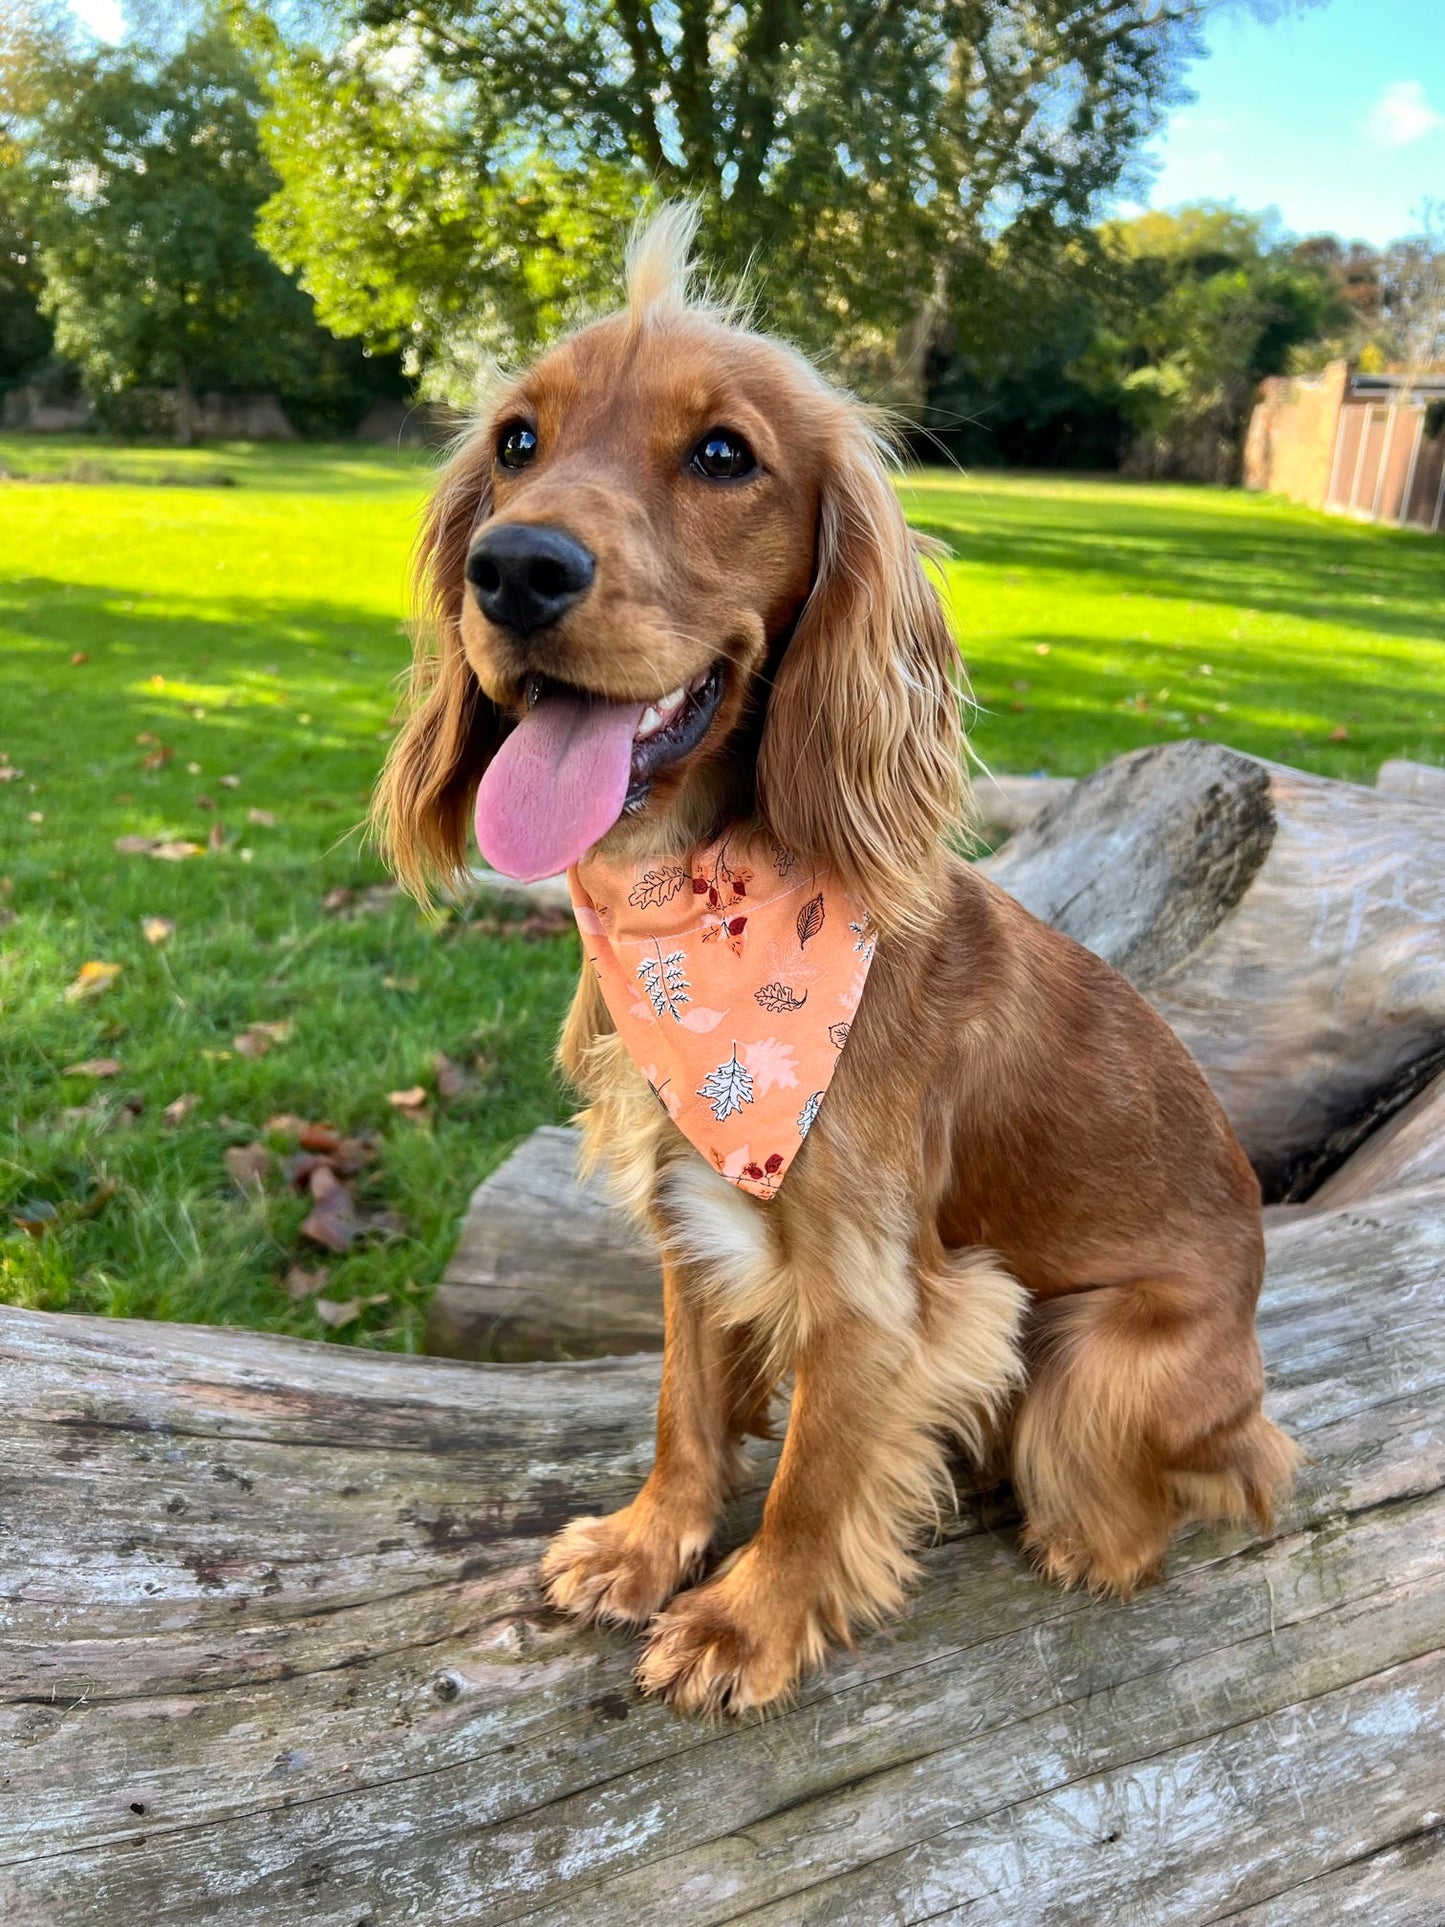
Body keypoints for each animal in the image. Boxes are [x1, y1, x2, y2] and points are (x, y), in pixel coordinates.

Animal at [375, 207, 1302, 1718]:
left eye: (721, 455)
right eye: (517, 440)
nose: (510, 570)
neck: (709, 916)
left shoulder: (882, 1289)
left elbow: (815, 1469)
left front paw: (750, 1619)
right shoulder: (688, 1209)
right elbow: (686, 1407)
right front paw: (648, 1544)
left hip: (1089, 1357)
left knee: (1140, 1505)